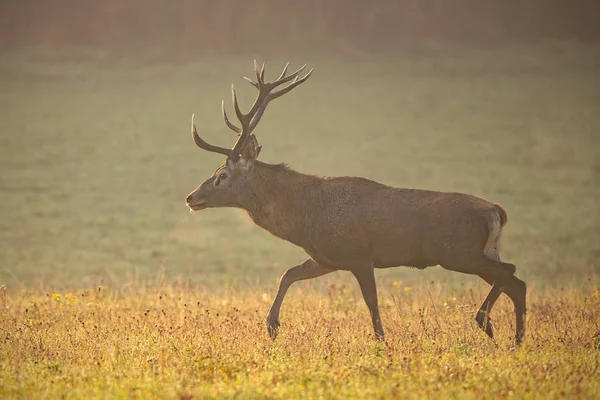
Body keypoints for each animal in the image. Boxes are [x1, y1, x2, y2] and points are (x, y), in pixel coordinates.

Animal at [185, 61, 528, 346]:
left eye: (222, 175)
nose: (191, 197)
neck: (305, 218)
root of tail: (497, 211)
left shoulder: (359, 254)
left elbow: (372, 303)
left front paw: (381, 341)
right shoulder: (327, 257)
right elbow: (288, 274)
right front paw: (272, 326)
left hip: (460, 252)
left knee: (510, 272)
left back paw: (485, 322)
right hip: (480, 252)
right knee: (517, 283)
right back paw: (516, 340)